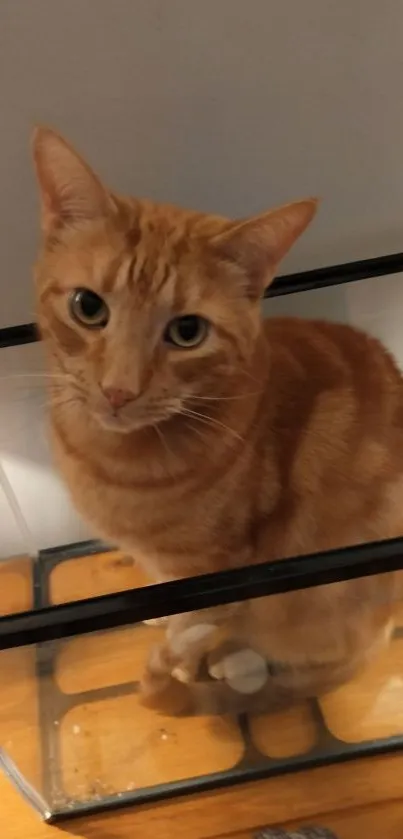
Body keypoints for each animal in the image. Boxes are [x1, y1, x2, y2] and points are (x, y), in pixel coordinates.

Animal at [31, 128, 403, 712]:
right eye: (87, 306)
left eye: (188, 332)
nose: (119, 390)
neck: (104, 456)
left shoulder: (219, 573)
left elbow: (194, 623)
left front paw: (183, 653)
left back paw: (237, 664)